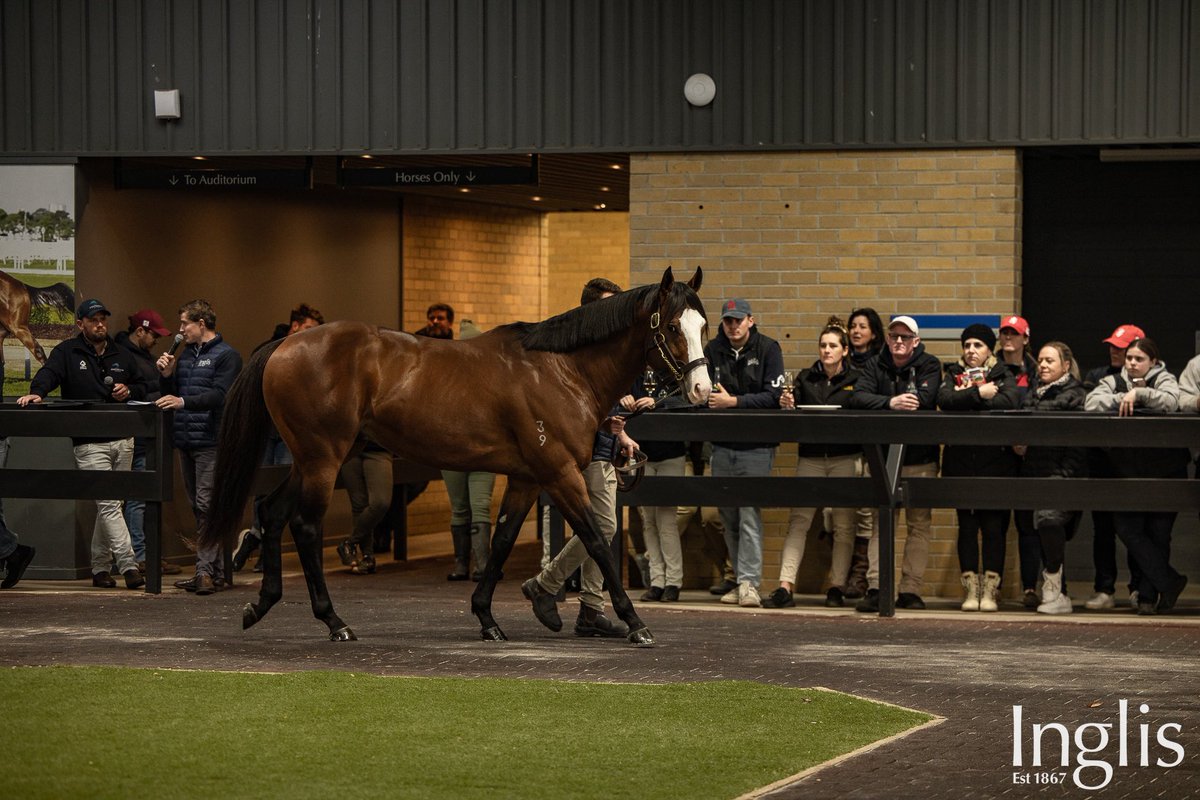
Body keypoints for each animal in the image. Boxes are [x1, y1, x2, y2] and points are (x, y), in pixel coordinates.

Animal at [204, 266, 711, 646]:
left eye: (702, 326)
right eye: (671, 326)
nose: (702, 390)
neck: (561, 370)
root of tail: (286, 344)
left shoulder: (527, 478)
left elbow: (503, 540)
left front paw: (488, 618)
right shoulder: (560, 474)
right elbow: (596, 541)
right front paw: (636, 623)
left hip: (310, 459)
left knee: (272, 513)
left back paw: (260, 604)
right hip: (323, 459)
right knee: (305, 527)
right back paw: (334, 622)